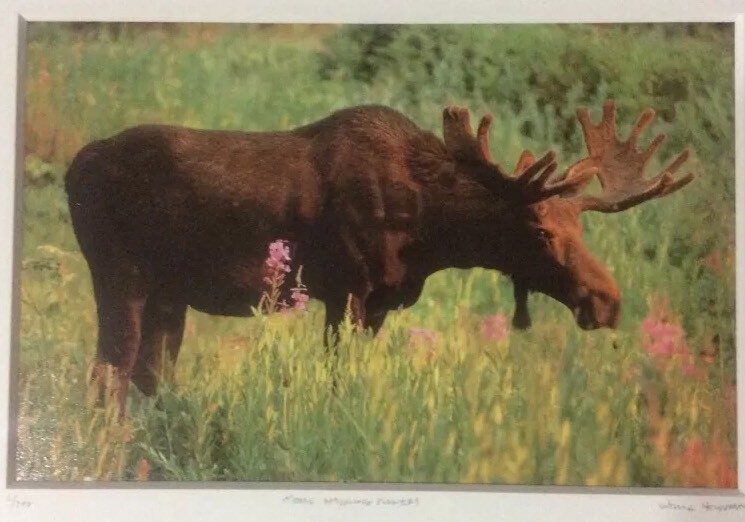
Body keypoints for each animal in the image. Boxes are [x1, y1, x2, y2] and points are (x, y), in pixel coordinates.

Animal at [64, 99, 693, 414]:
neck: (429, 234)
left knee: (149, 374)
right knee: (108, 371)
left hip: (170, 295)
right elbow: (337, 383)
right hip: (119, 274)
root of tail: (74, 167)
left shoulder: (382, 302)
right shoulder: (345, 289)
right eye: (539, 229)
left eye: (580, 225)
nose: (607, 300)